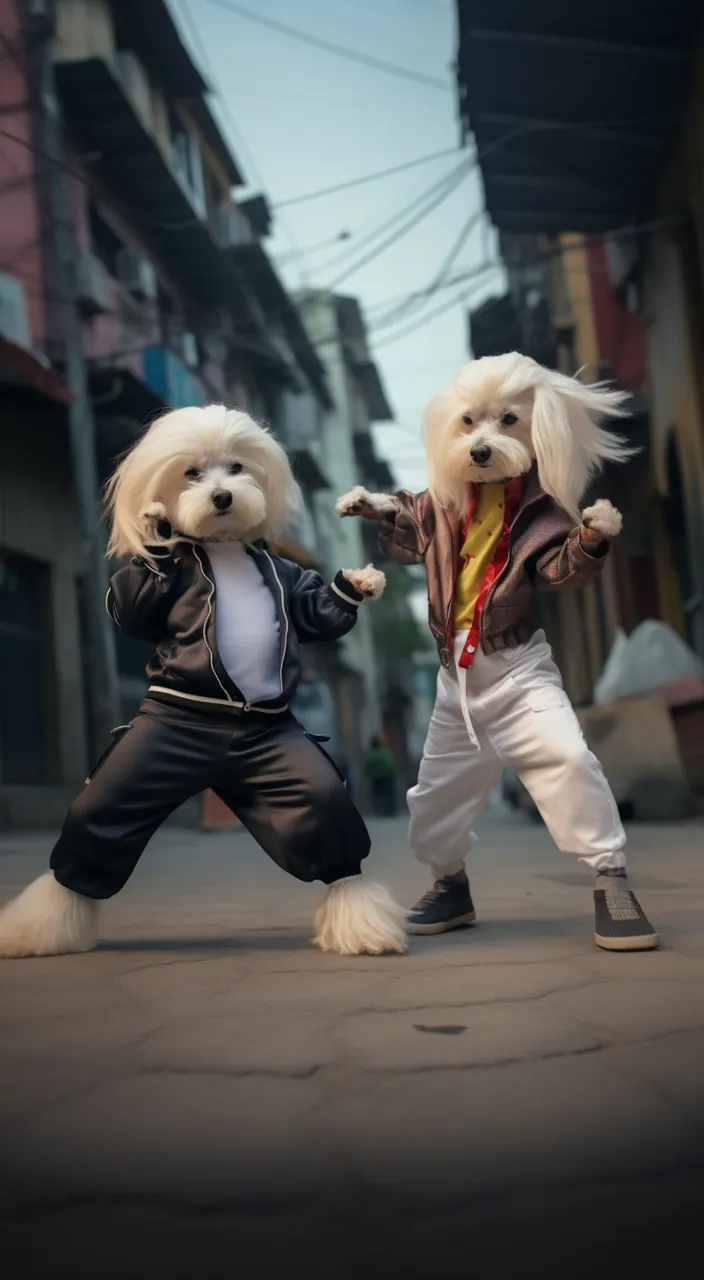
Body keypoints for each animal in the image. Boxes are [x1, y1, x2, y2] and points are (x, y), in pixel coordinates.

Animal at [0, 404, 409, 957]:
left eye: (235, 468)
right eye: (191, 473)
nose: (221, 497)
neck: (223, 548)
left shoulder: (289, 582)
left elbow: (313, 614)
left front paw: (359, 582)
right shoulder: (145, 600)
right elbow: (130, 610)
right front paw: (157, 529)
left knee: (324, 821)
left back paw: (359, 918)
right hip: (146, 757)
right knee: (94, 831)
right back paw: (40, 930)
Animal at [340, 350, 660, 952]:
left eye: (510, 420)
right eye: (468, 421)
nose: (481, 452)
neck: (490, 490)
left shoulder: (548, 537)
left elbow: (558, 564)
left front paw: (597, 528)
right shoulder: (431, 523)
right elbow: (408, 529)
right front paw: (368, 503)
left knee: (578, 797)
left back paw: (621, 910)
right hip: (448, 751)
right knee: (436, 816)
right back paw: (446, 900)